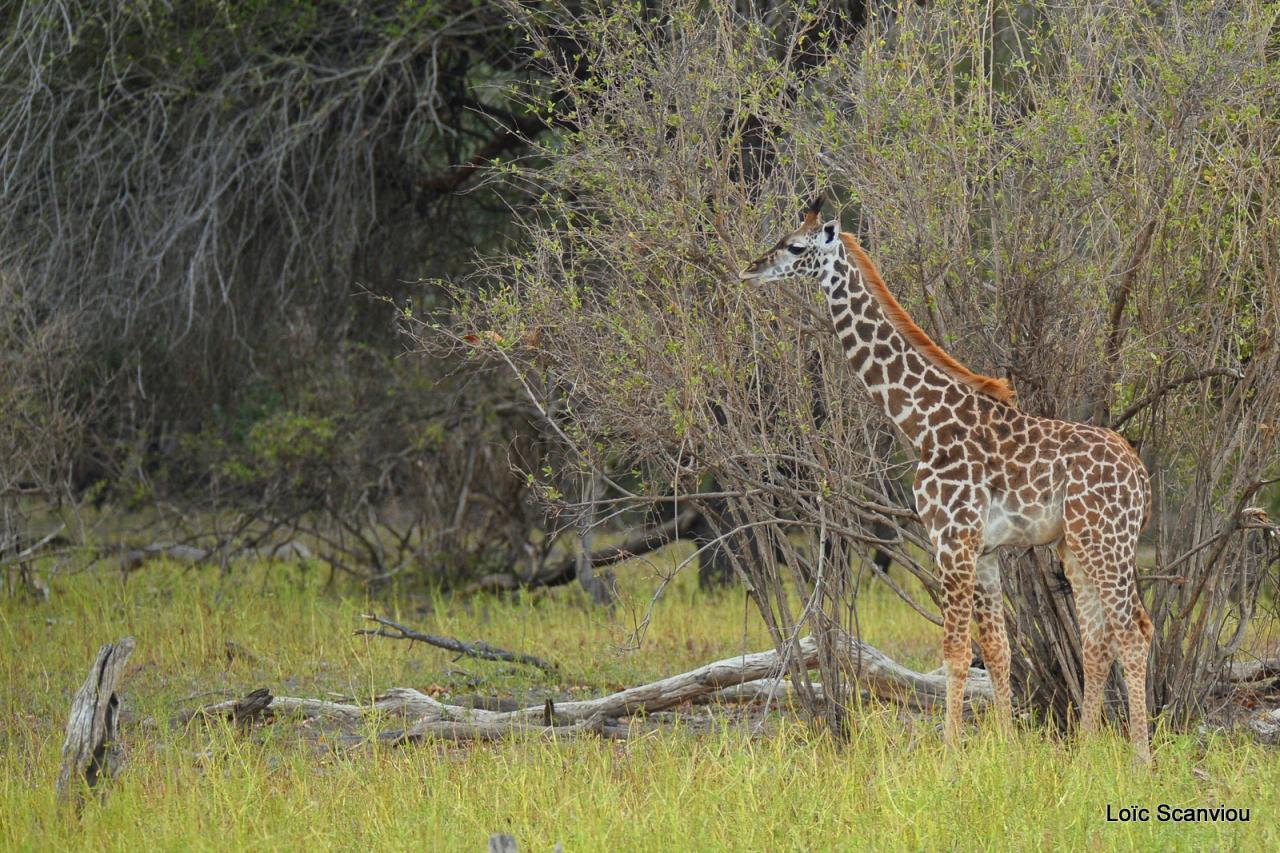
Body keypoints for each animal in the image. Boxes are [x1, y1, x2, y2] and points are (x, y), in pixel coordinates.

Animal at [737, 197, 1157, 758]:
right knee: (1097, 639)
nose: (751, 269)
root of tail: (1142, 477)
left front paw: (951, 756)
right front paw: (1005, 749)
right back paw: (1088, 753)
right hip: (1077, 546)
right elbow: (997, 652)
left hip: (1106, 542)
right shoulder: (985, 550)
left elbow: (956, 652)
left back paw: (1141, 759)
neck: (923, 423)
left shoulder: (952, 538)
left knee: (1134, 632)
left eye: (795, 247)